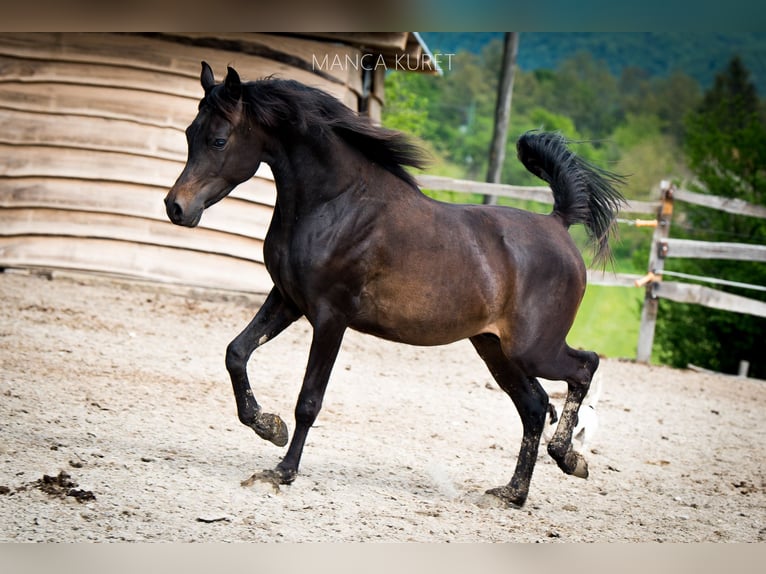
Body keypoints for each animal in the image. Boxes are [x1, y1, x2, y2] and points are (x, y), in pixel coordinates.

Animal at [164, 62, 624, 508]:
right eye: (189, 133)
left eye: (219, 140)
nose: (176, 207)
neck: (337, 203)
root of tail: (558, 223)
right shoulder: (288, 300)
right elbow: (236, 353)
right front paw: (268, 427)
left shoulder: (330, 317)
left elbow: (309, 400)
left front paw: (281, 471)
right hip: (494, 347)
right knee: (534, 405)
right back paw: (511, 493)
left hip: (532, 349)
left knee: (584, 366)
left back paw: (569, 459)